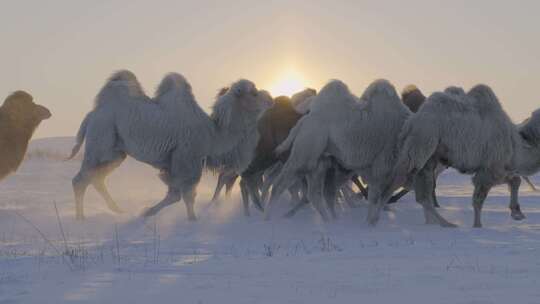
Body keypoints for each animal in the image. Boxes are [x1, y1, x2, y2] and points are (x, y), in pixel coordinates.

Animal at [68, 70, 268, 220]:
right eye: (254, 93)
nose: (269, 98)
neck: (212, 135)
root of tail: (93, 114)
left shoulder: (175, 163)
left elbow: (175, 194)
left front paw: (147, 212)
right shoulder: (186, 160)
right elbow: (184, 195)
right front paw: (192, 220)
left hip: (115, 153)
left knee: (96, 178)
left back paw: (117, 210)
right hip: (100, 142)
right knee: (80, 179)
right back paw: (80, 219)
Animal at [394, 84, 540, 227]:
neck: (516, 147)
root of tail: (412, 120)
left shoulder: (499, 169)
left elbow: (516, 180)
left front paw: (517, 213)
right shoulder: (489, 170)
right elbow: (478, 200)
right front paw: (477, 226)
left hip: (429, 157)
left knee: (423, 193)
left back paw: (435, 222)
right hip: (423, 145)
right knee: (415, 187)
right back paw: (445, 223)